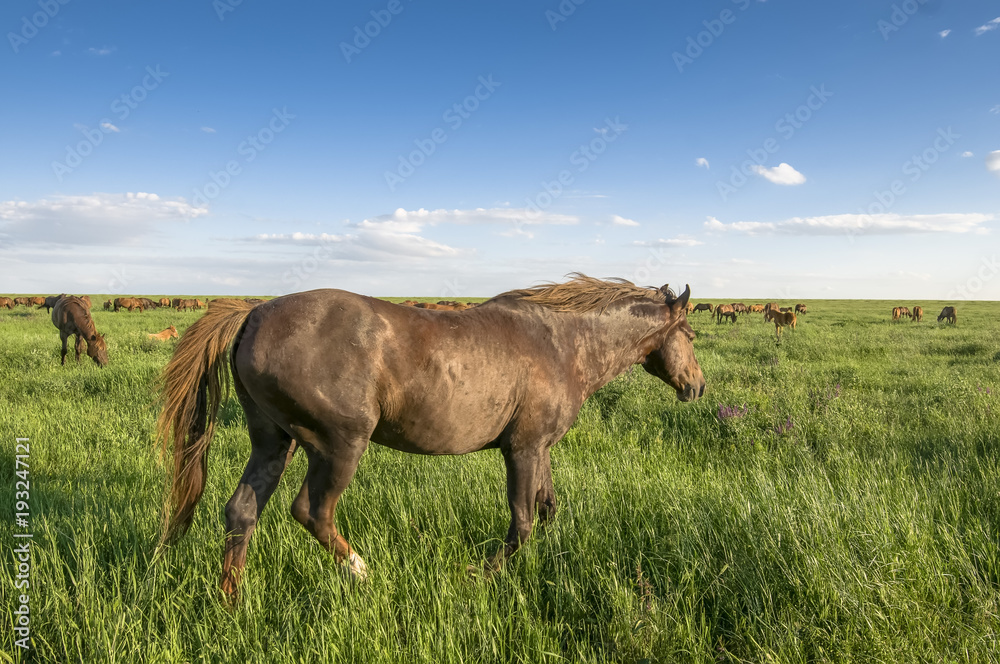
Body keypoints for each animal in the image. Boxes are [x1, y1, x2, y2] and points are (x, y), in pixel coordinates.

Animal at [155, 275, 705, 602]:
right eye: (692, 335)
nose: (697, 386)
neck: (561, 343)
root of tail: (252, 313)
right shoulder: (523, 449)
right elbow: (523, 522)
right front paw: (479, 577)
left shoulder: (540, 448)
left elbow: (547, 509)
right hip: (339, 445)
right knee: (311, 512)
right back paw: (363, 573)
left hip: (274, 443)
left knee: (241, 512)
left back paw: (231, 601)